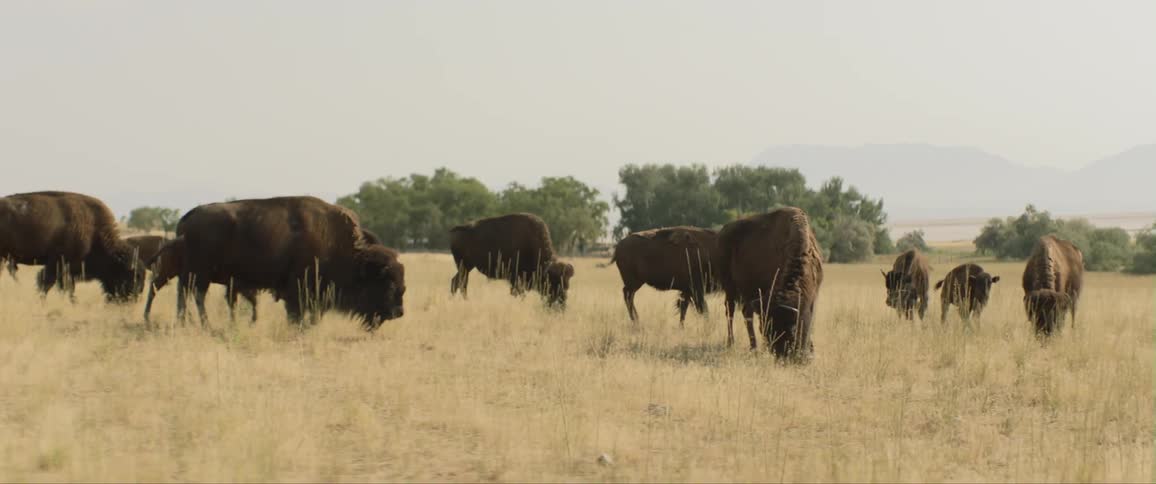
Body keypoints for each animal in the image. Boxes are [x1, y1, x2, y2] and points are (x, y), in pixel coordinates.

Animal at [0, 191, 144, 302]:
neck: (93, 228)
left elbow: (67, 288)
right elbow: (47, 284)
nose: (130, 301)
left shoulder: (66, 269)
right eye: (129, 277)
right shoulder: (58, 263)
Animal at [171, 196, 405, 328]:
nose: (398, 312)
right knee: (195, 296)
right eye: (387, 283)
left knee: (187, 295)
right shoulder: (298, 289)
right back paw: (202, 325)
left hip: (196, 275)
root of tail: (188, 217)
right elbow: (297, 313)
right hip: (199, 273)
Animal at [717, 207, 823, 359]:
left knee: (746, 313)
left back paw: (753, 347)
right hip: (729, 287)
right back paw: (733, 343)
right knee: (730, 311)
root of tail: (723, 231)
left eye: (792, 328)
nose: (782, 355)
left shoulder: (814, 296)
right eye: (768, 329)